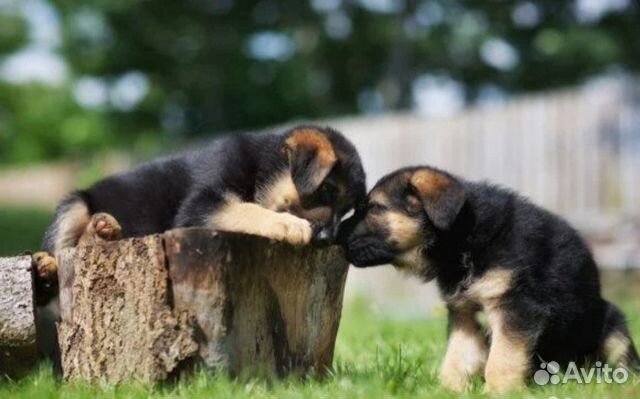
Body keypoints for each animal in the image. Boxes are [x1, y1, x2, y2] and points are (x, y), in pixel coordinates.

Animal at [33, 125, 364, 304]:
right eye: (327, 190)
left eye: (346, 211)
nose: (327, 239)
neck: (260, 166)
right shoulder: (200, 205)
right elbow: (245, 208)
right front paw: (288, 224)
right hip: (74, 204)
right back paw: (50, 265)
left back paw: (100, 232)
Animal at [338, 165, 636, 394]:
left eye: (375, 208)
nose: (335, 235)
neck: (463, 241)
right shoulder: (464, 314)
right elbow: (457, 358)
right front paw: (447, 390)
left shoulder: (517, 306)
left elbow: (502, 358)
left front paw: (499, 391)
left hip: (613, 326)